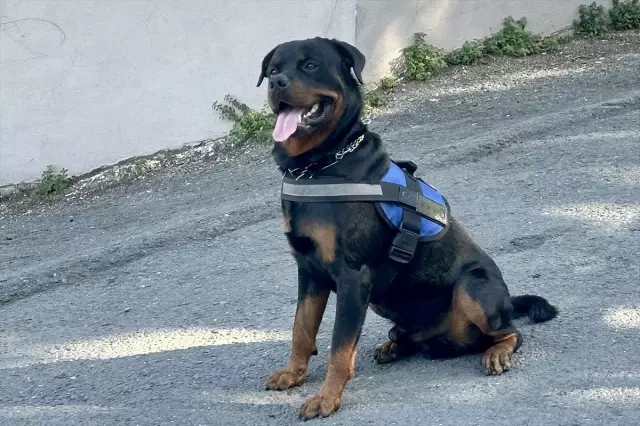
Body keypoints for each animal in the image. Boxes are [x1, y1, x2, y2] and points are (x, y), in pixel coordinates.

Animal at [258, 38, 556, 422]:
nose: (277, 84)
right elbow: (301, 330)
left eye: (310, 65)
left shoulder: (353, 276)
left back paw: (496, 351)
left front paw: (326, 397)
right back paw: (396, 345)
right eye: (273, 70)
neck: (319, 166)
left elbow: (339, 347)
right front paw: (292, 374)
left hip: (473, 286)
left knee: (510, 332)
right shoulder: (309, 270)